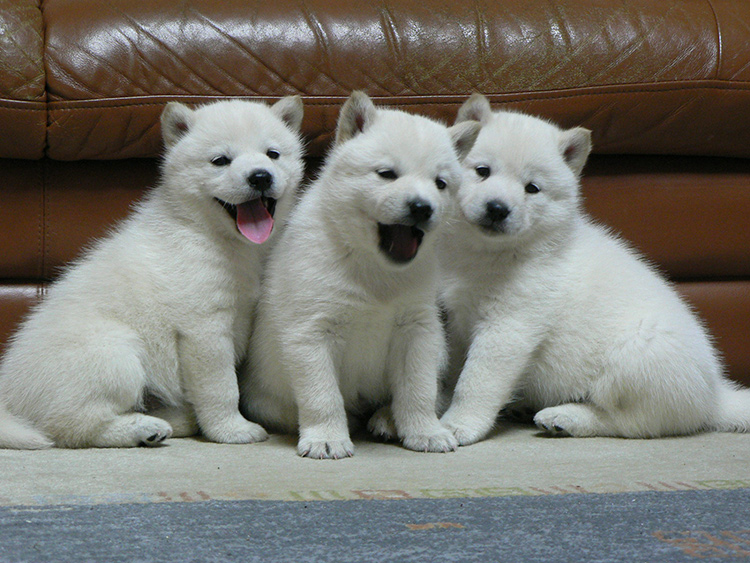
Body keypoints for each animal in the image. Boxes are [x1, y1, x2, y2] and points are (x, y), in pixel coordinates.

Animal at [0, 98, 306, 450]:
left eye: (273, 154)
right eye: (220, 161)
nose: (260, 177)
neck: (205, 232)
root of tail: (8, 399)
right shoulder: (204, 328)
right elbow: (222, 387)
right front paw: (232, 429)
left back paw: (171, 419)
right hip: (115, 356)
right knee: (70, 426)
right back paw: (142, 429)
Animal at [241, 91, 482, 458]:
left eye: (440, 183)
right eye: (386, 173)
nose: (422, 207)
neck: (374, 269)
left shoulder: (418, 328)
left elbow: (418, 388)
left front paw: (425, 431)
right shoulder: (311, 331)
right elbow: (322, 394)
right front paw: (327, 437)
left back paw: (387, 419)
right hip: (264, 396)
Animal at [440, 93, 750, 446]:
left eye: (532, 188)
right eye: (482, 170)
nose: (497, 209)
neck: (488, 254)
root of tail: (715, 396)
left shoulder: (509, 325)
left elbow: (476, 380)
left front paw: (458, 423)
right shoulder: (456, 320)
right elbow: (452, 370)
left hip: (635, 359)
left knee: (629, 422)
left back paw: (565, 417)